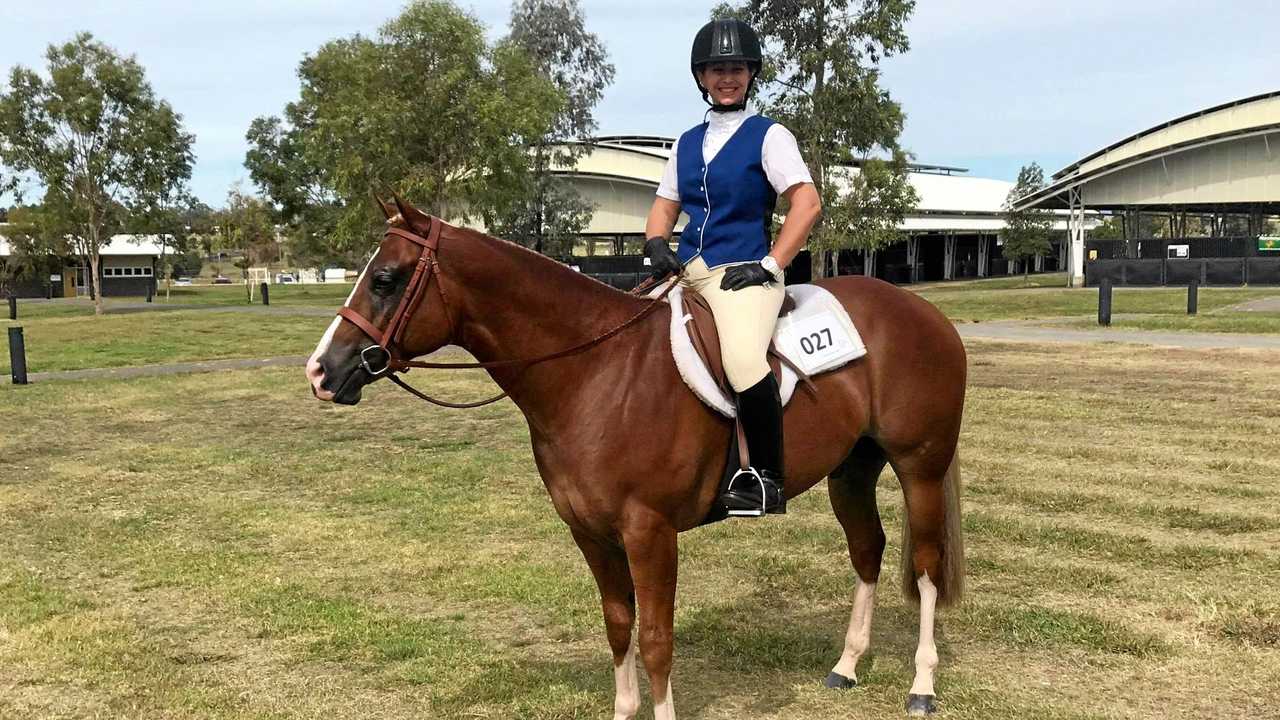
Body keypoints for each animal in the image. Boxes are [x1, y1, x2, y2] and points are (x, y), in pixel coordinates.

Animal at [304, 196, 962, 717]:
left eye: (385, 279)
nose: (320, 372)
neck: (594, 371)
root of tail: (925, 312)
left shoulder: (649, 532)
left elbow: (655, 640)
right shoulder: (591, 534)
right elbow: (619, 628)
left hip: (920, 468)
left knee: (927, 567)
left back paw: (921, 687)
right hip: (851, 470)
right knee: (868, 551)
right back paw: (847, 667)